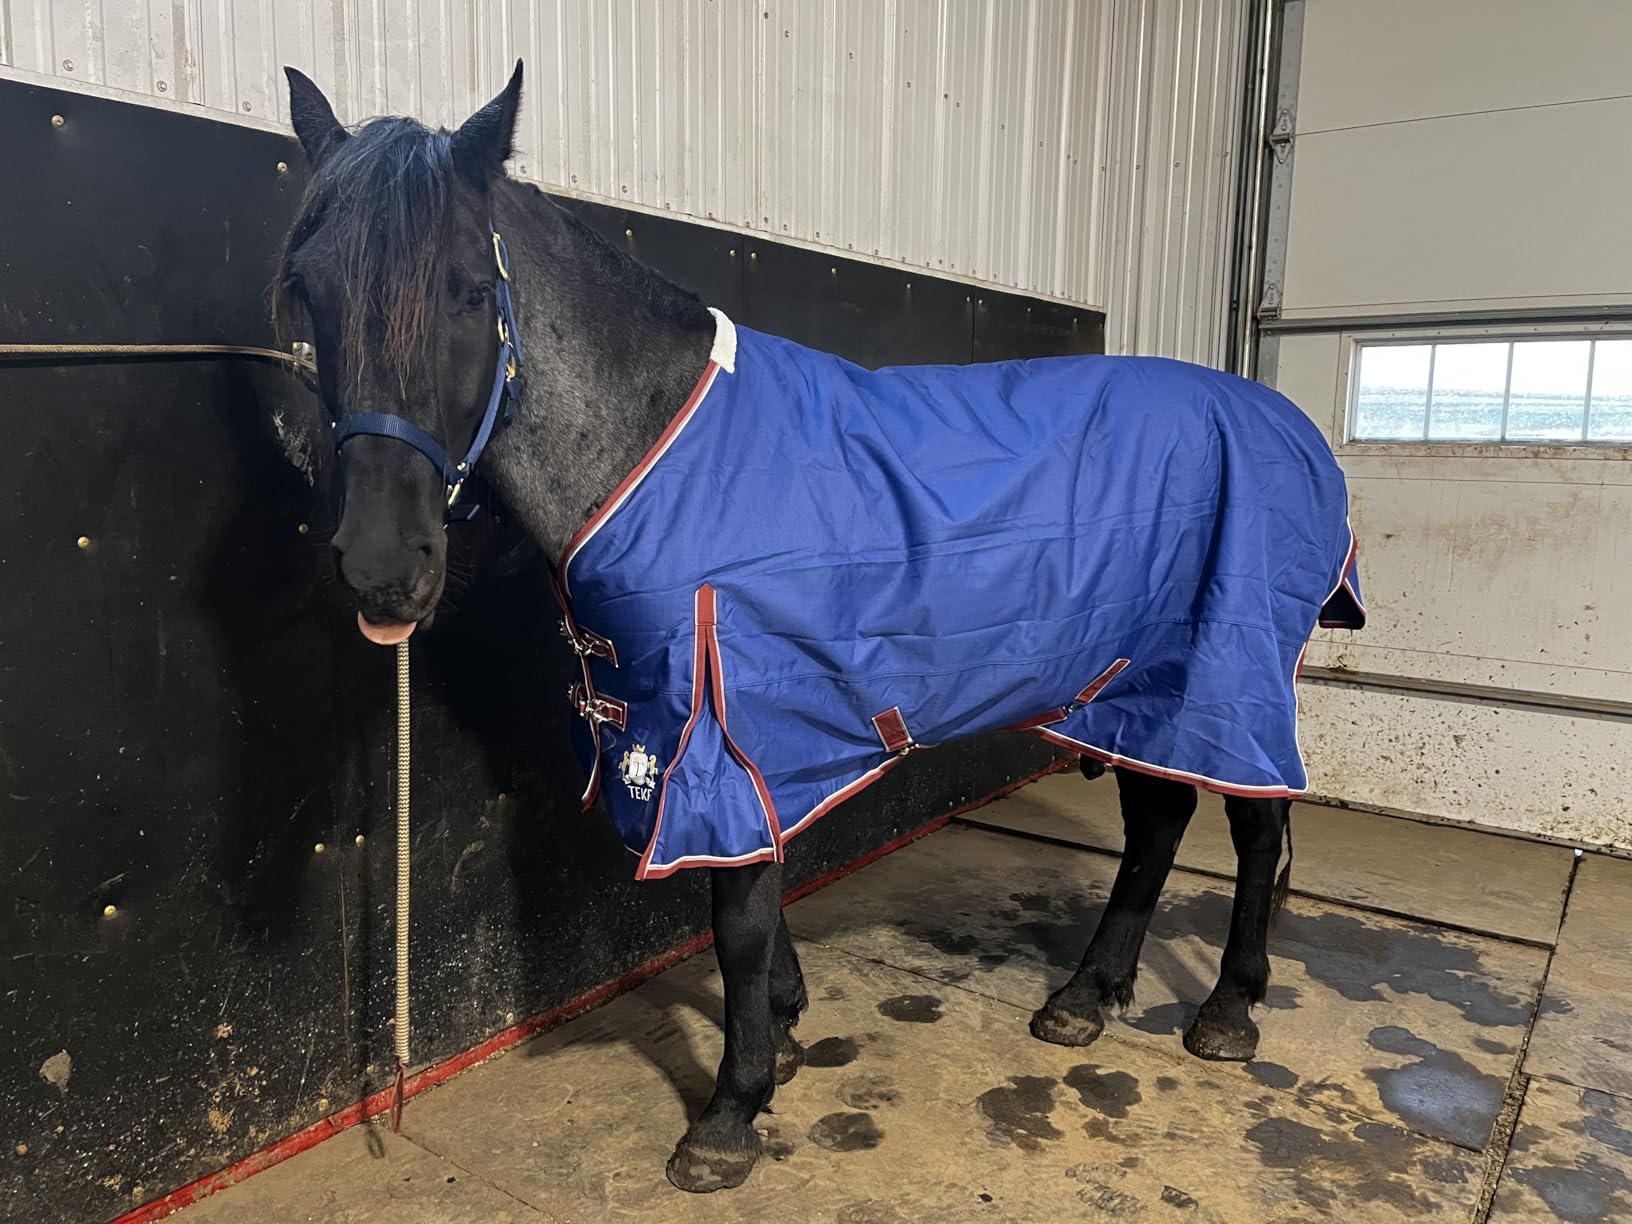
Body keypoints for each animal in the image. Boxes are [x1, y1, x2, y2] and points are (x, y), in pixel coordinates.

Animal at [275, 63, 1364, 1193]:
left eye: (467, 290)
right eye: (309, 287)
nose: (384, 568)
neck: (656, 446)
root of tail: (1288, 427)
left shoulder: (719, 721)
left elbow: (737, 918)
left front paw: (732, 1108)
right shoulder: (700, 729)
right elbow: (756, 886)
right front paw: (786, 1032)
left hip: (1229, 672)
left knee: (1254, 821)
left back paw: (1228, 1008)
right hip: (1136, 684)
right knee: (1159, 818)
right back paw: (1085, 996)